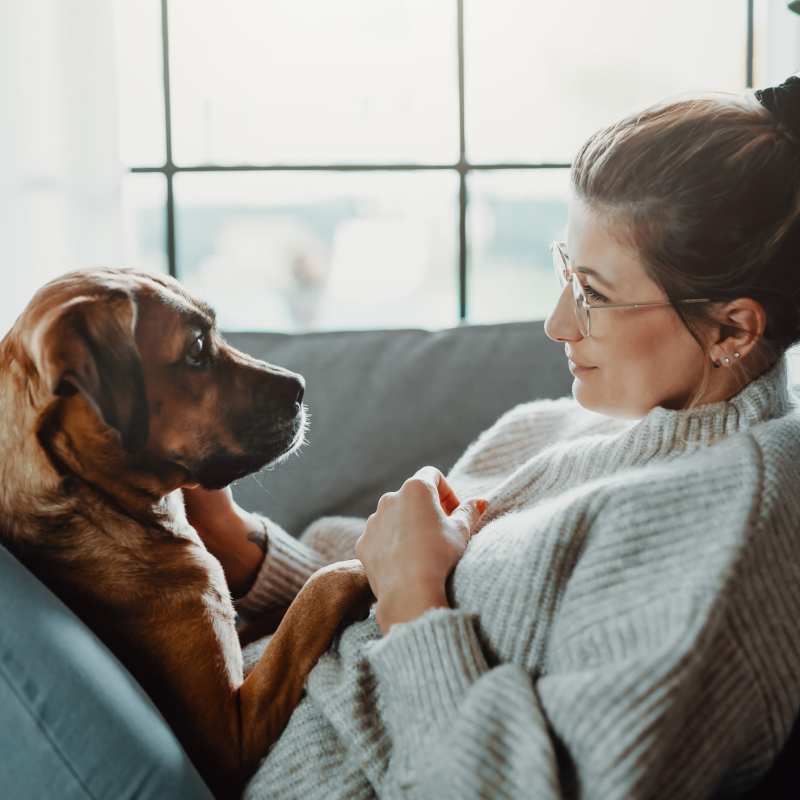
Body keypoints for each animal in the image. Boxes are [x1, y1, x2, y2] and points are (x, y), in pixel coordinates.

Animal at [0, 268, 376, 800]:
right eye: (197, 348)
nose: (302, 387)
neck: (99, 505)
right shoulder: (230, 735)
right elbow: (318, 591)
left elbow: (285, 611)